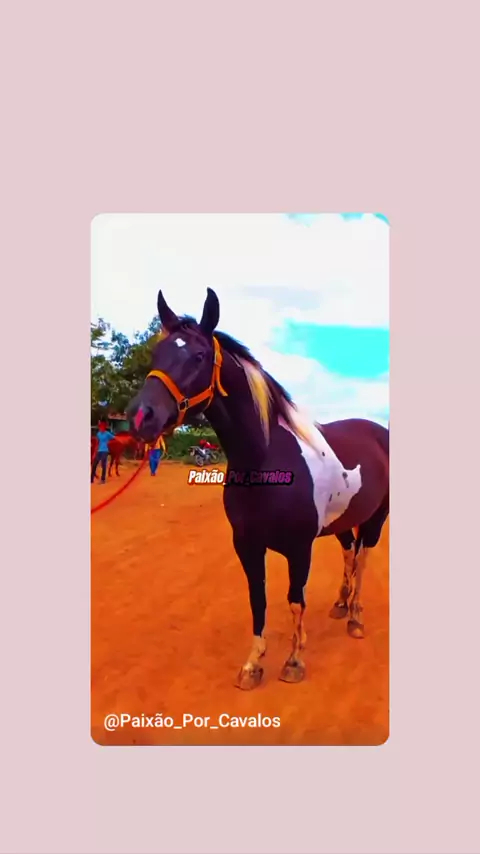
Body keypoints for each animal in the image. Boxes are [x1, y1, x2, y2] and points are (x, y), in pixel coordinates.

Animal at [126, 288, 389, 690]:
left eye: (199, 356)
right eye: (156, 355)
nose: (142, 416)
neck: (266, 458)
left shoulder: (300, 548)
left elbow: (295, 599)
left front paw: (294, 662)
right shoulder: (247, 544)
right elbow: (258, 599)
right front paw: (252, 665)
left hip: (376, 519)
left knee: (362, 561)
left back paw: (356, 617)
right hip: (343, 522)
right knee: (349, 555)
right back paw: (341, 605)